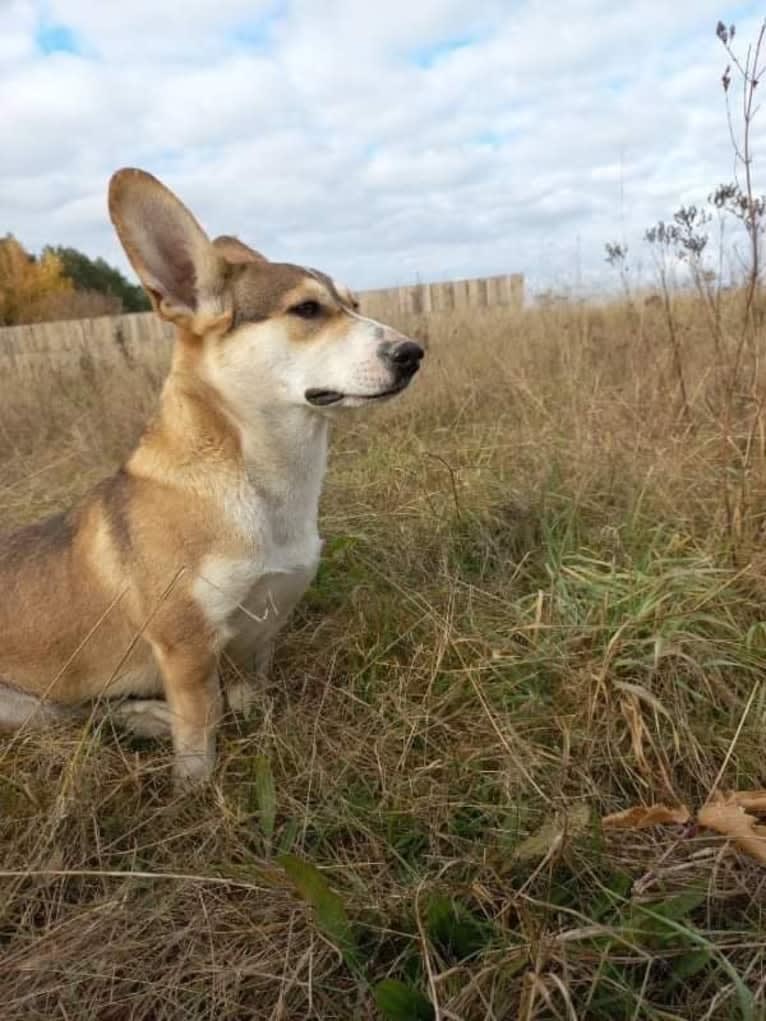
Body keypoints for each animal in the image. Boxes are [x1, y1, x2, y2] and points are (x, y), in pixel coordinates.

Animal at [0, 171, 426, 780]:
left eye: (354, 304)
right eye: (306, 310)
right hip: (22, 709)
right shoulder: (186, 649)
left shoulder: (258, 632)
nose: (414, 353)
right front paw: (196, 789)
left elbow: (249, 700)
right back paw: (148, 717)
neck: (260, 484)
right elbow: (200, 733)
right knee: (74, 718)